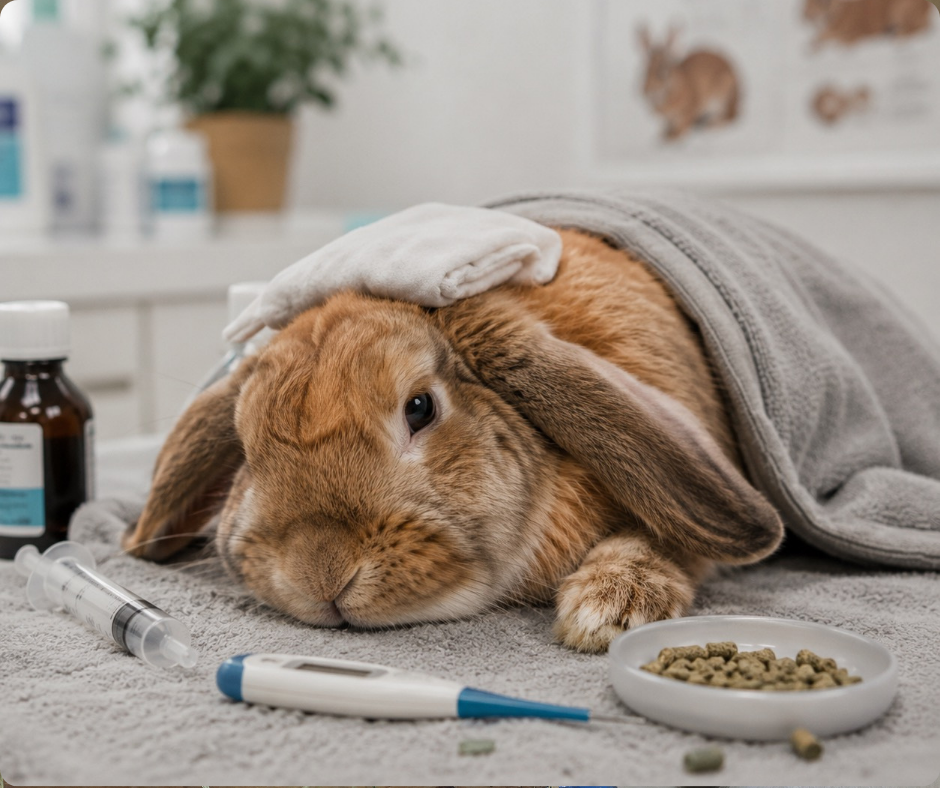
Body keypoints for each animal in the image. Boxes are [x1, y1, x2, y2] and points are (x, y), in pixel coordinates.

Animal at [803, 0, 932, 48]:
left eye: (814, 4)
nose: (805, 14)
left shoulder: (854, 34)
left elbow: (841, 41)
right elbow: (816, 40)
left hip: (899, 10)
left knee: (916, 29)